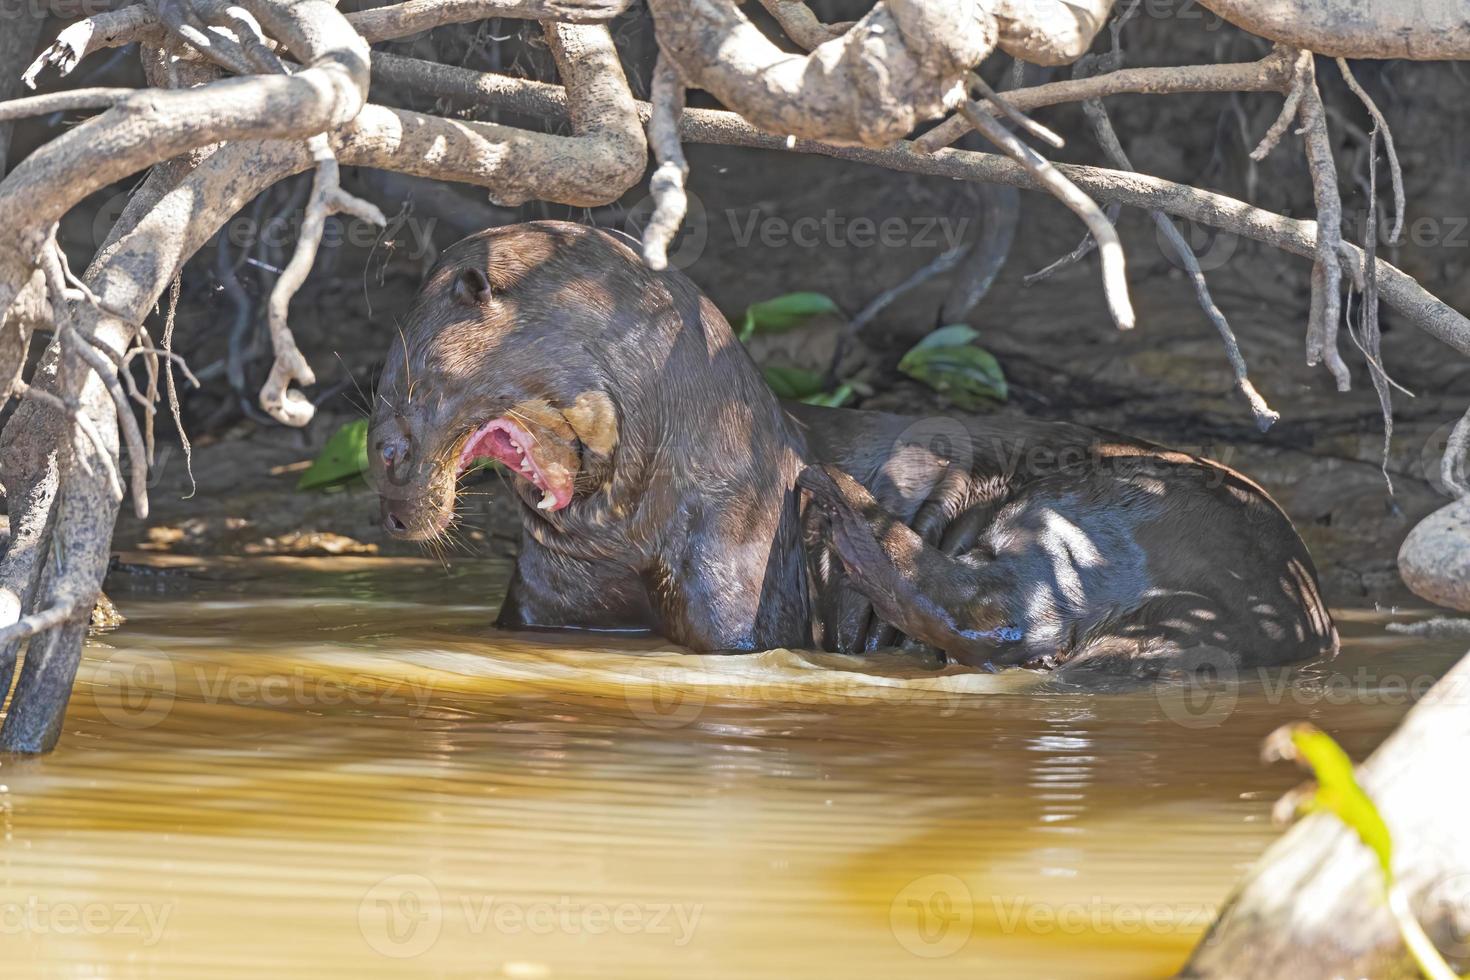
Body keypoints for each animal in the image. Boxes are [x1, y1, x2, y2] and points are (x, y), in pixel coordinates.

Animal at [367, 220, 1334, 675]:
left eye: (396, 425)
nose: (389, 491)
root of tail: (1278, 610)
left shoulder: (734, 582)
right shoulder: (545, 602)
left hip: (1087, 508)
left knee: (997, 609)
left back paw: (839, 491)